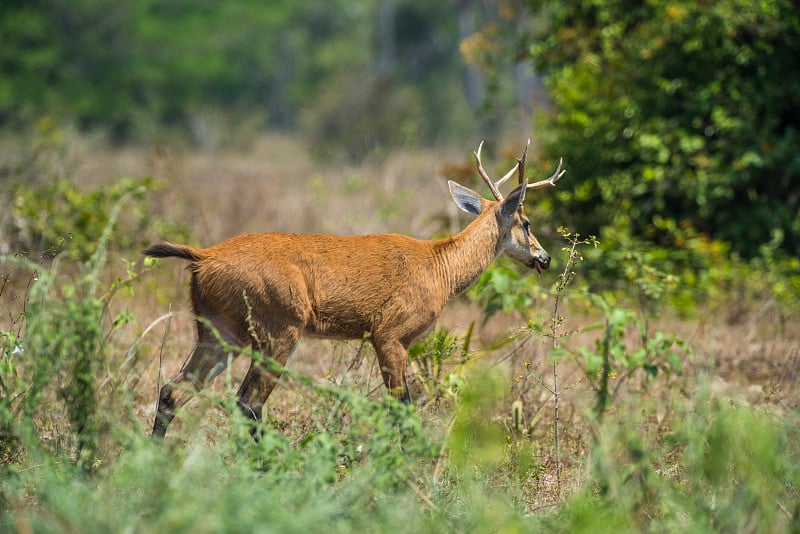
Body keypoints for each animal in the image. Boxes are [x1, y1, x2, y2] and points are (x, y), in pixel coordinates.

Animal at [144, 142, 564, 440]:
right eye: (526, 222)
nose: (544, 258)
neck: (439, 269)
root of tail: (203, 256)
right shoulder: (390, 333)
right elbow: (402, 408)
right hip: (278, 328)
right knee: (247, 402)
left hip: (219, 331)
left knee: (172, 391)